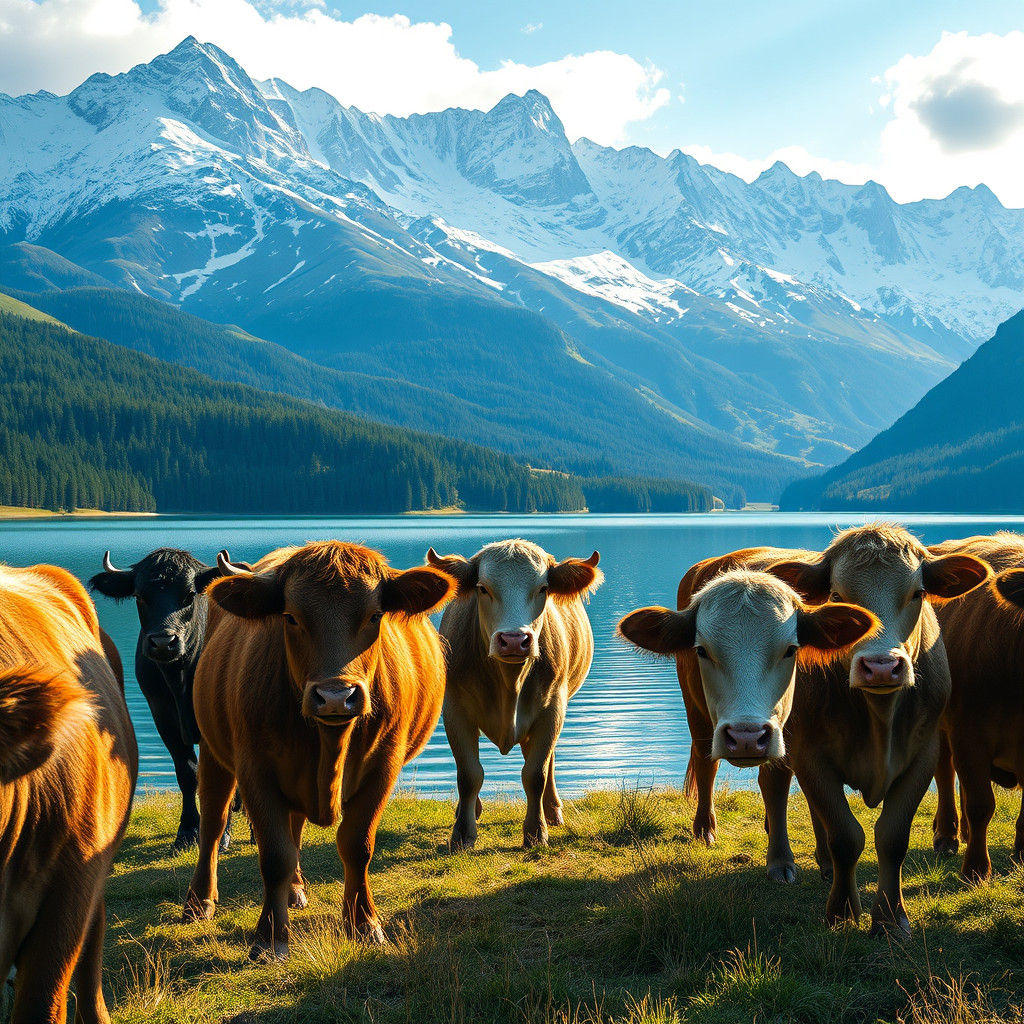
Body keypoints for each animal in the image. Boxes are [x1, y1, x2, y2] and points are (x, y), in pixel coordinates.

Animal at [89, 548, 247, 852]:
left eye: (189, 595)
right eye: (140, 596)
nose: (164, 642)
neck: (182, 679)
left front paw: (222, 836)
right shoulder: (163, 717)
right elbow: (187, 773)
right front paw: (187, 832)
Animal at [181, 542, 453, 958]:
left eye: (375, 615)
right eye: (290, 617)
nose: (336, 696)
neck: (330, 745)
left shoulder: (384, 767)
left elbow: (356, 845)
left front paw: (364, 923)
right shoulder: (255, 769)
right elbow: (274, 854)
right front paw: (270, 936)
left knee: (294, 827)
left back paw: (295, 891)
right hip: (214, 748)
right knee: (213, 820)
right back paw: (199, 902)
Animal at [426, 540, 603, 850]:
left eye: (543, 588)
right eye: (482, 587)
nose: (513, 640)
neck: (510, 683)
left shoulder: (552, 708)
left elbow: (535, 773)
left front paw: (535, 832)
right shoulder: (455, 708)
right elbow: (469, 774)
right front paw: (462, 833)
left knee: (547, 760)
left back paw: (552, 810)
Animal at [617, 567, 879, 882]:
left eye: (791, 649)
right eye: (701, 650)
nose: (746, 737)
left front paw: (827, 860)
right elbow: (776, 784)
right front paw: (780, 861)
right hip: (698, 714)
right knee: (706, 763)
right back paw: (705, 828)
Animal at [929, 532, 1024, 880]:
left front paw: (1021, 855)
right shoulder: (969, 733)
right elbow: (982, 804)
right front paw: (975, 870)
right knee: (945, 771)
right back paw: (947, 835)